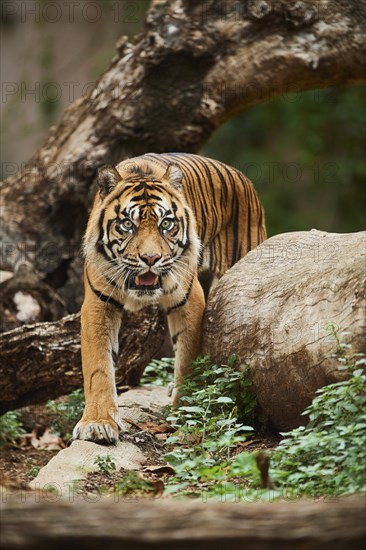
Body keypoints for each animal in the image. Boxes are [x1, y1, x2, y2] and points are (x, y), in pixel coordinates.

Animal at [73, 153, 266, 446]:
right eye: (127, 224)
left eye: (166, 224)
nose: (151, 259)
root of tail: (244, 178)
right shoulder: (99, 303)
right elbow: (98, 368)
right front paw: (98, 423)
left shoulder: (188, 299)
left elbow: (187, 359)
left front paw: (185, 411)